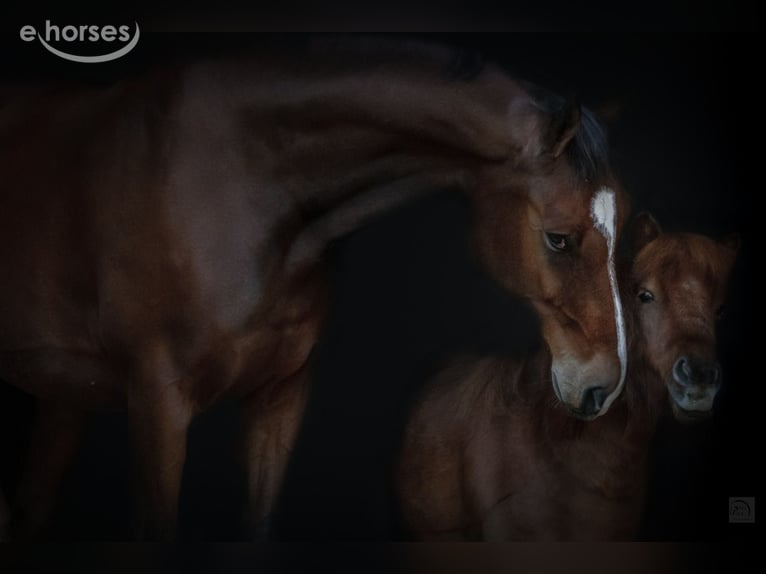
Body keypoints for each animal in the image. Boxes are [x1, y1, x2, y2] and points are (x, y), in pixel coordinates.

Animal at [0, 38, 627, 539]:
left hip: (60, 396)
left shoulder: (280, 398)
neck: (244, 186)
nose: (602, 387)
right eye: (559, 239)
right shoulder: (158, 405)